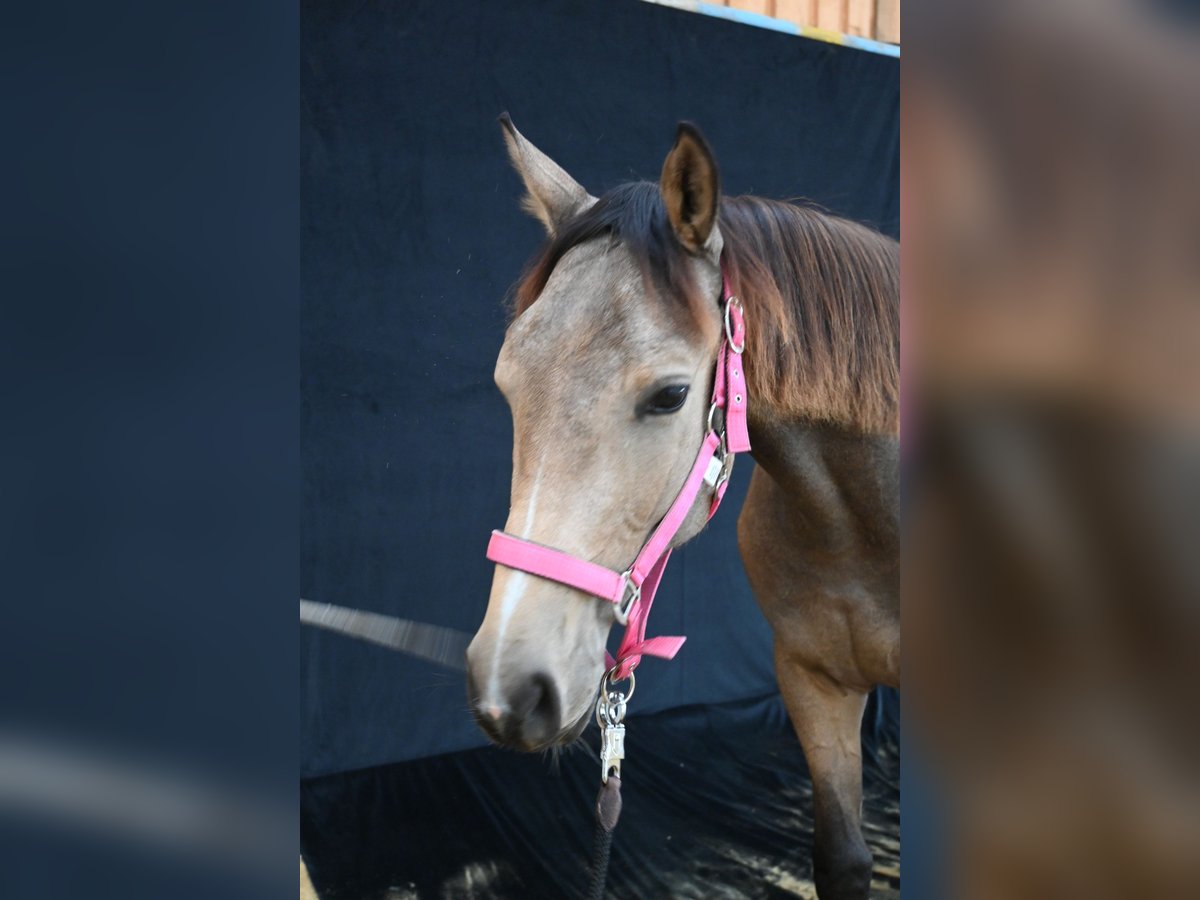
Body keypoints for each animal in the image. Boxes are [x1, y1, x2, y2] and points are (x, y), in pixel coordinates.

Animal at [463, 120, 897, 900]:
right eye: (508, 382)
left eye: (669, 396)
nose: (510, 686)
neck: (861, 523)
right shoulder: (813, 682)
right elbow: (844, 859)